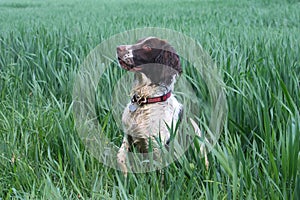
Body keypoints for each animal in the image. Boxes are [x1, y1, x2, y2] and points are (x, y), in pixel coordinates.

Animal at [116, 36, 209, 176]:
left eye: (147, 47)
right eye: (138, 41)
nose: (118, 48)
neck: (145, 101)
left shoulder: (158, 146)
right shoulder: (129, 135)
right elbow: (120, 156)